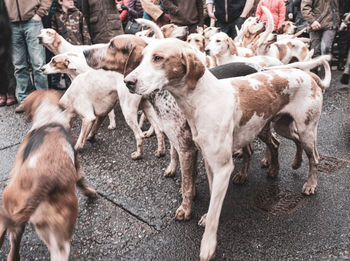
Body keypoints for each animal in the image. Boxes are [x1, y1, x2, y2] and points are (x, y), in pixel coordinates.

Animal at [0, 90, 95, 260]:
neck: (50, 118)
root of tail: (43, 183)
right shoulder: (76, 164)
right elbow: (81, 180)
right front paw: (90, 192)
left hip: (9, 210)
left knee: (11, 247)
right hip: (59, 240)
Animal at [122, 38, 330, 260]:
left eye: (158, 58)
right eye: (141, 58)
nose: (127, 82)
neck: (202, 100)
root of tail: (307, 74)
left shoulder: (219, 166)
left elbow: (209, 204)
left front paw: (207, 244)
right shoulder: (208, 161)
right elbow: (210, 196)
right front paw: (204, 215)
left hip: (307, 131)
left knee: (314, 158)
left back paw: (310, 184)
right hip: (281, 125)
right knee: (286, 143)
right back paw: (290, 164)